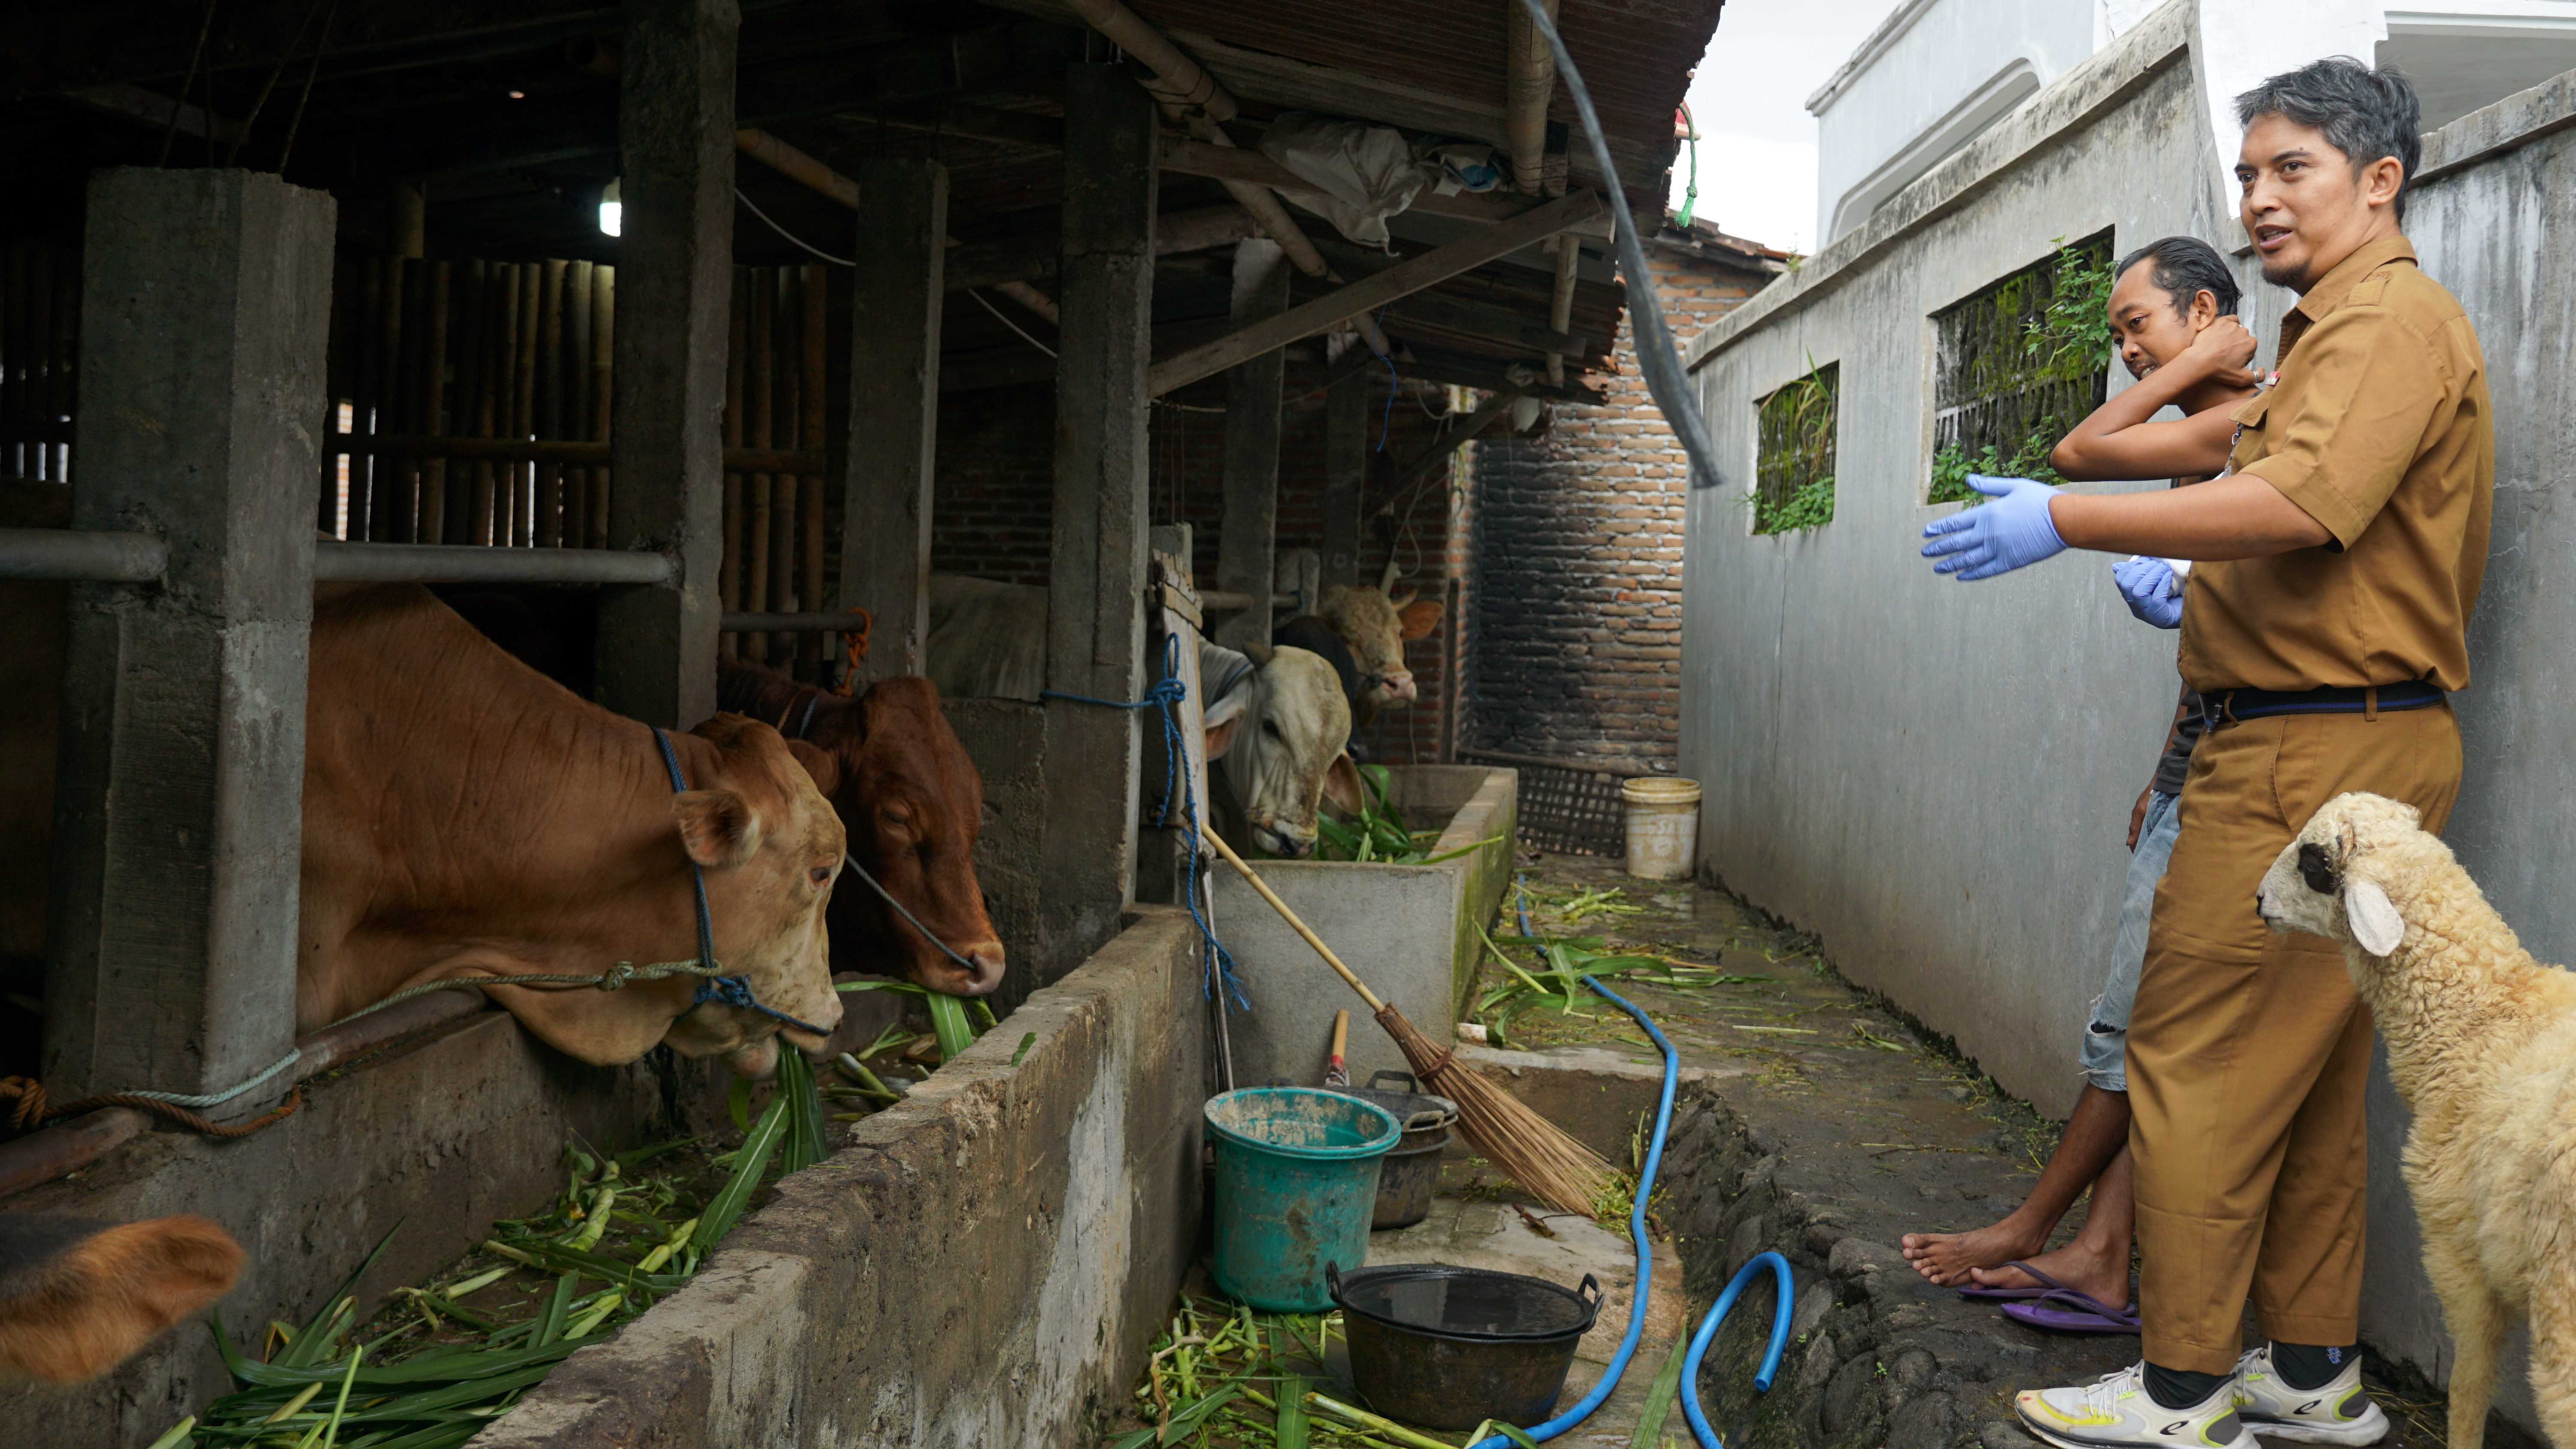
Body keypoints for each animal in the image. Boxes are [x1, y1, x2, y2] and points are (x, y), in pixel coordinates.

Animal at [2257, 792, 2576, 1449]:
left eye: (2313, 863)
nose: (2258, 900)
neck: (2483, 1017)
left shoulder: (2457, 1248)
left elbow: (2469, 1383)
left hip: (2564, 1299)